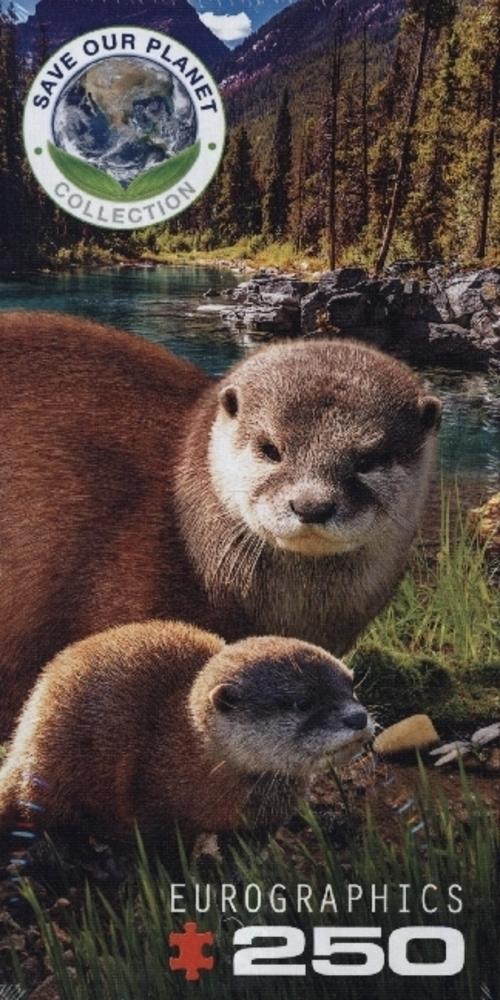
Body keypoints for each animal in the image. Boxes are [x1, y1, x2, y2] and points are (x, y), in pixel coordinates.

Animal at [0, 621, 372, 843]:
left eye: (351, 686)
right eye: (301, 702)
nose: (358, 717)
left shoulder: (262, 823)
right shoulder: (152, 803)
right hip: (53, 766)